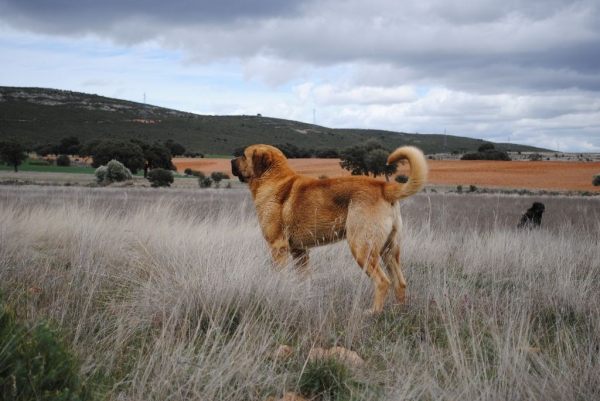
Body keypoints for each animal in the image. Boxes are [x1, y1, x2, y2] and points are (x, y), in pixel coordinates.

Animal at [232, 144, 428, 312]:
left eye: (243, 155)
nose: (231, 161)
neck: (273, 178)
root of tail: (384, 185)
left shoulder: (278, 248)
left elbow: (279, 277)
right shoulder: (300, 251)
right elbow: (303, 280)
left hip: (361, 248)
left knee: (382, 282)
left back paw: (373, 313)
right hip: (389, 251)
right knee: (400, 283)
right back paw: (399, 312)